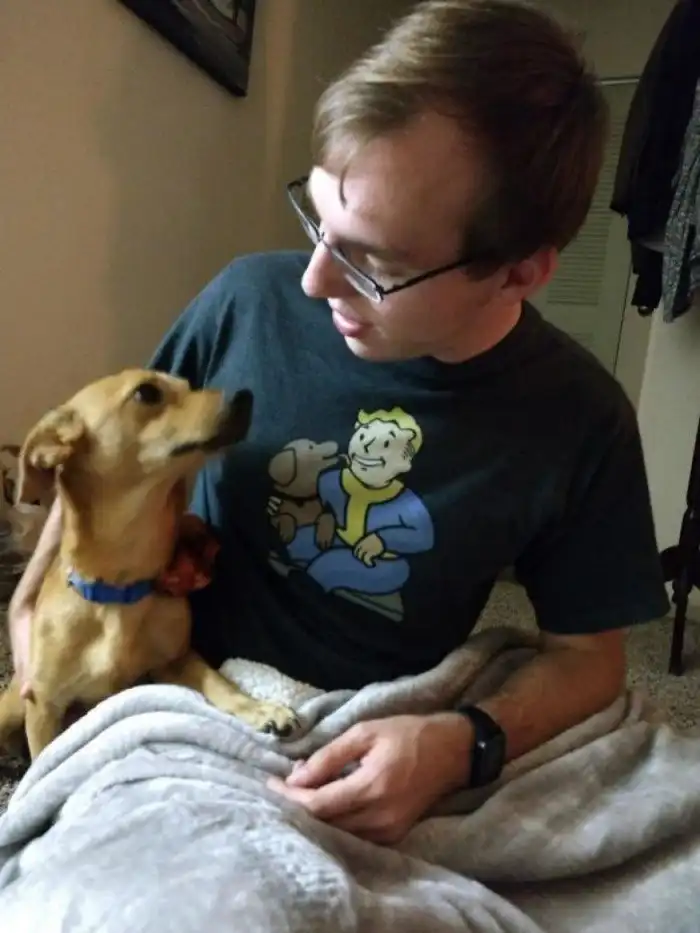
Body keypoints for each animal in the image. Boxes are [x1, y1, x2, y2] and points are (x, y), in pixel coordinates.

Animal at [0, 368, 298, 761]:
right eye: (147, 393)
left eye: (188, 384)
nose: (246, 396)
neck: (119, 591)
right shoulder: (44, 705)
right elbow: (46, 759)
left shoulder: (176, 660)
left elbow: (219, 682)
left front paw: (261, 709)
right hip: (11, 706)